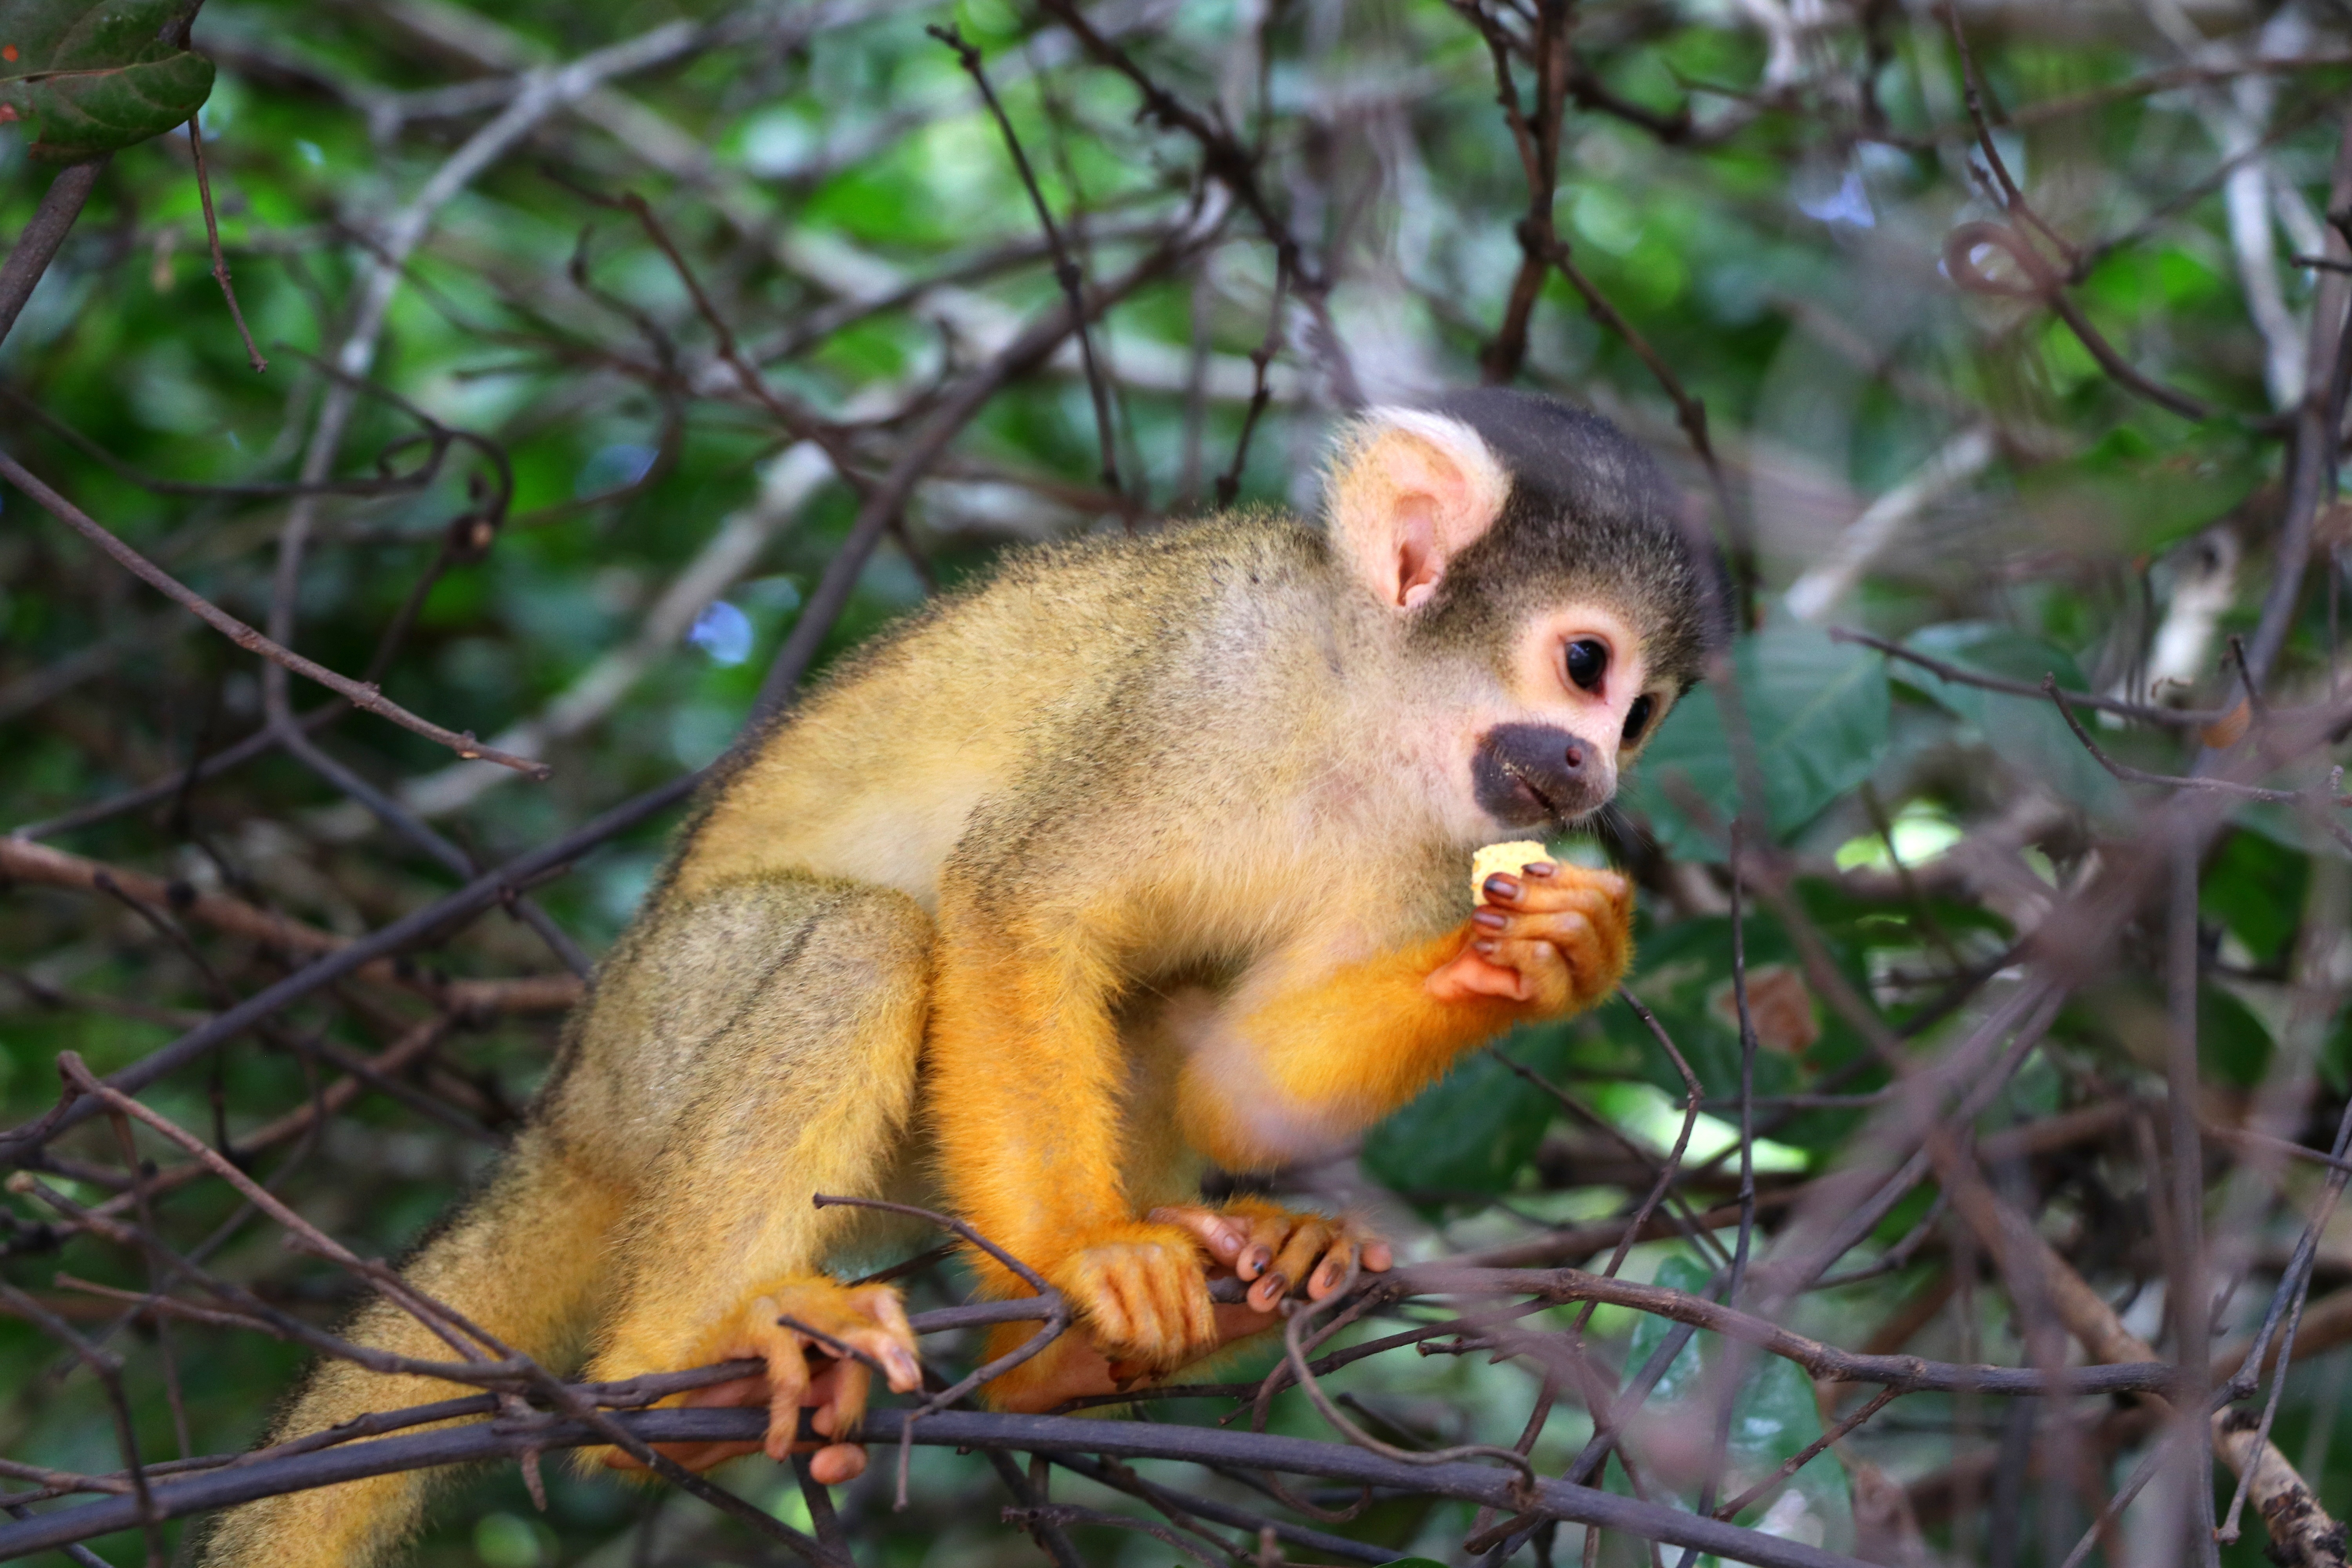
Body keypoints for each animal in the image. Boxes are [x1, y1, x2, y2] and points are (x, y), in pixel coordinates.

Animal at [207, 392, 1712, 1568]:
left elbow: (1235, 1087)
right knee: (866, 943)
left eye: (1640, 716)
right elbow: (1013, 903)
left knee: (1150, 1010)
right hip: (658, 1033)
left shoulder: (1429, 848)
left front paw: (1551, 958)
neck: (1360, 716)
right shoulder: (1199, 689)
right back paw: (681, 1376)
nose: (1594, 772)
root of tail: (566, 1108)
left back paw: (1088, 1353)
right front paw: (1089, 1254)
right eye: (1585, 663)